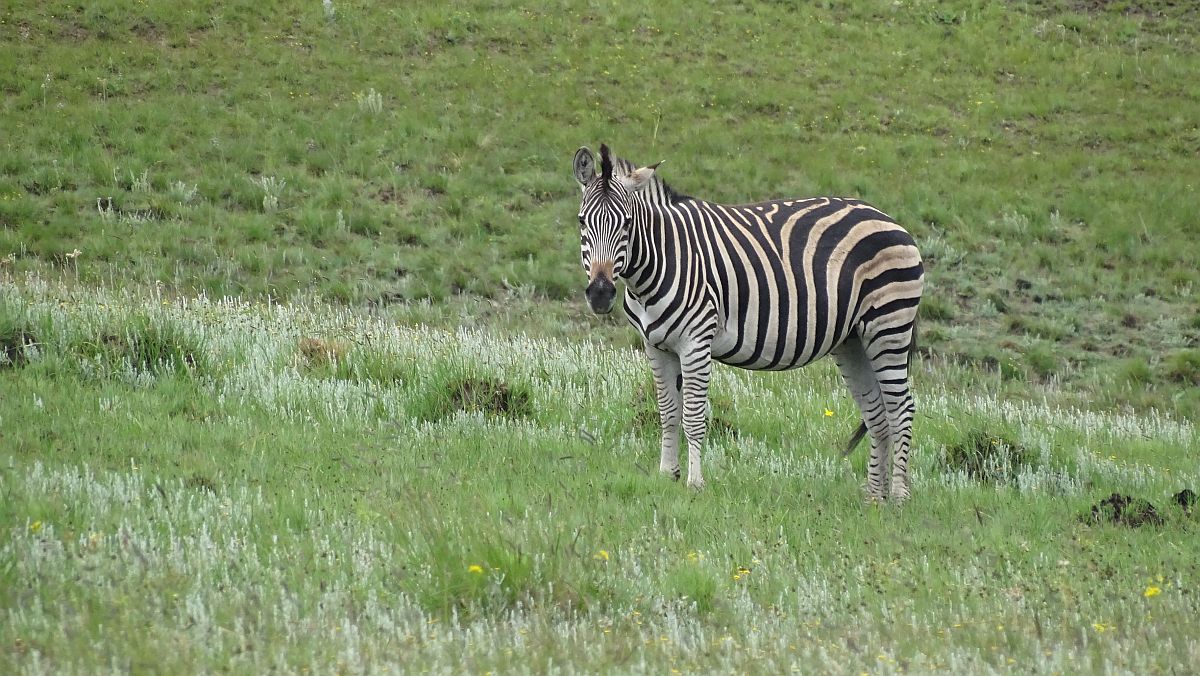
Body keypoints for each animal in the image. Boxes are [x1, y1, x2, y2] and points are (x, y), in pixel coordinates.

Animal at [576, 144, 921, 501]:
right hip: (853, 340)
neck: (660, 260)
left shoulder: (696, 341)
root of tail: (889, 219)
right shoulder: (656, 346)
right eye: (582, 221)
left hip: (888, 326)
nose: (600, 293)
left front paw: (695, 483)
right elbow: (668, 413)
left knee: (901, 409)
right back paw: (873, 497)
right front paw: (667, 475)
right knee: (877, 413)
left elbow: (693, 417)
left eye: (627, 224)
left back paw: (898, 496)